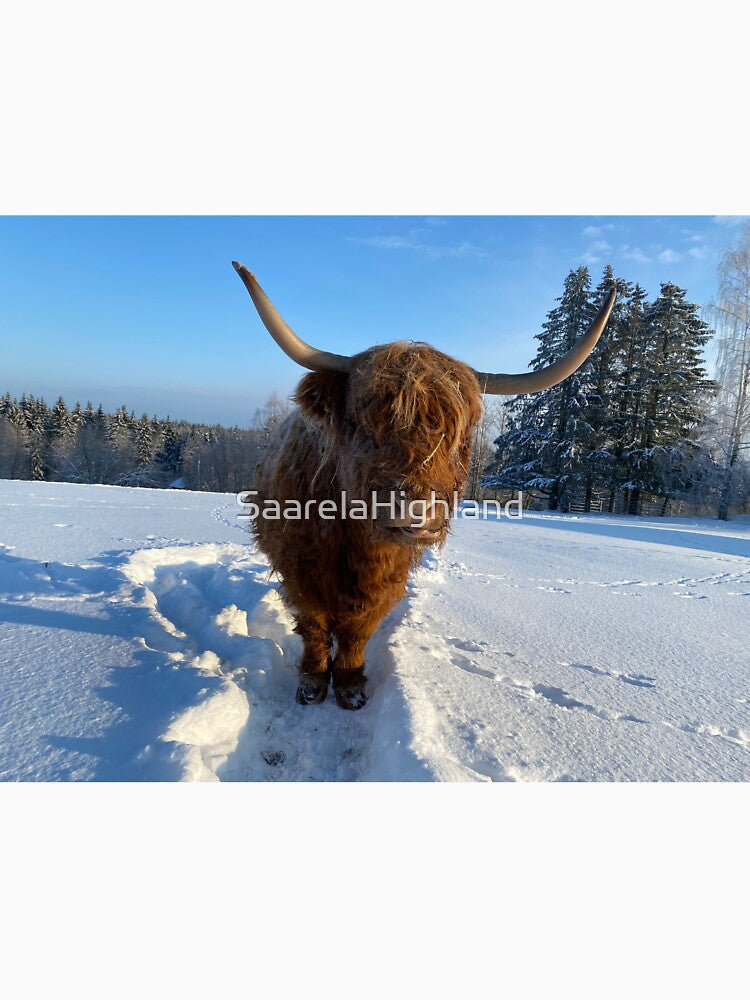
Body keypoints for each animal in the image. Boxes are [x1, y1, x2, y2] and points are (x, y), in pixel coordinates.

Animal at [233, 262, 615, 709]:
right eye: (362, 425)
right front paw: (312, 684)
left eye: (461, 435)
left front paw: (351, 686)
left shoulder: (387, 579)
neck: (353, 539)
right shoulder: (300, 569)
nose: (417, 513)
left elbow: (358, 631)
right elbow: (312, 626)